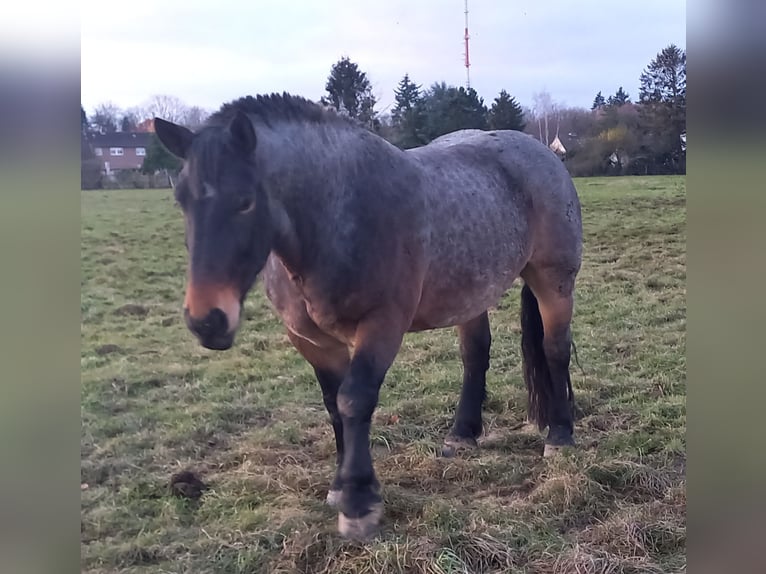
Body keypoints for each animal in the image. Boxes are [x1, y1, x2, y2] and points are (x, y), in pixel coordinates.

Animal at [154, 92, 584, 544]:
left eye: (245, 201)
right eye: (181, 200)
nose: (207, 320)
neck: (338, 217)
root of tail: (541, 151)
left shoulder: (382, 325)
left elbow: (354, 400)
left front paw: (359, 502)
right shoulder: (311, 340)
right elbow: (332, 404)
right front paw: (339, 487)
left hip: (554, 281)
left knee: (554, 350)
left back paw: (559, 434)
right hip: (471, 292)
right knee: (475, 355)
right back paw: (462, 433)